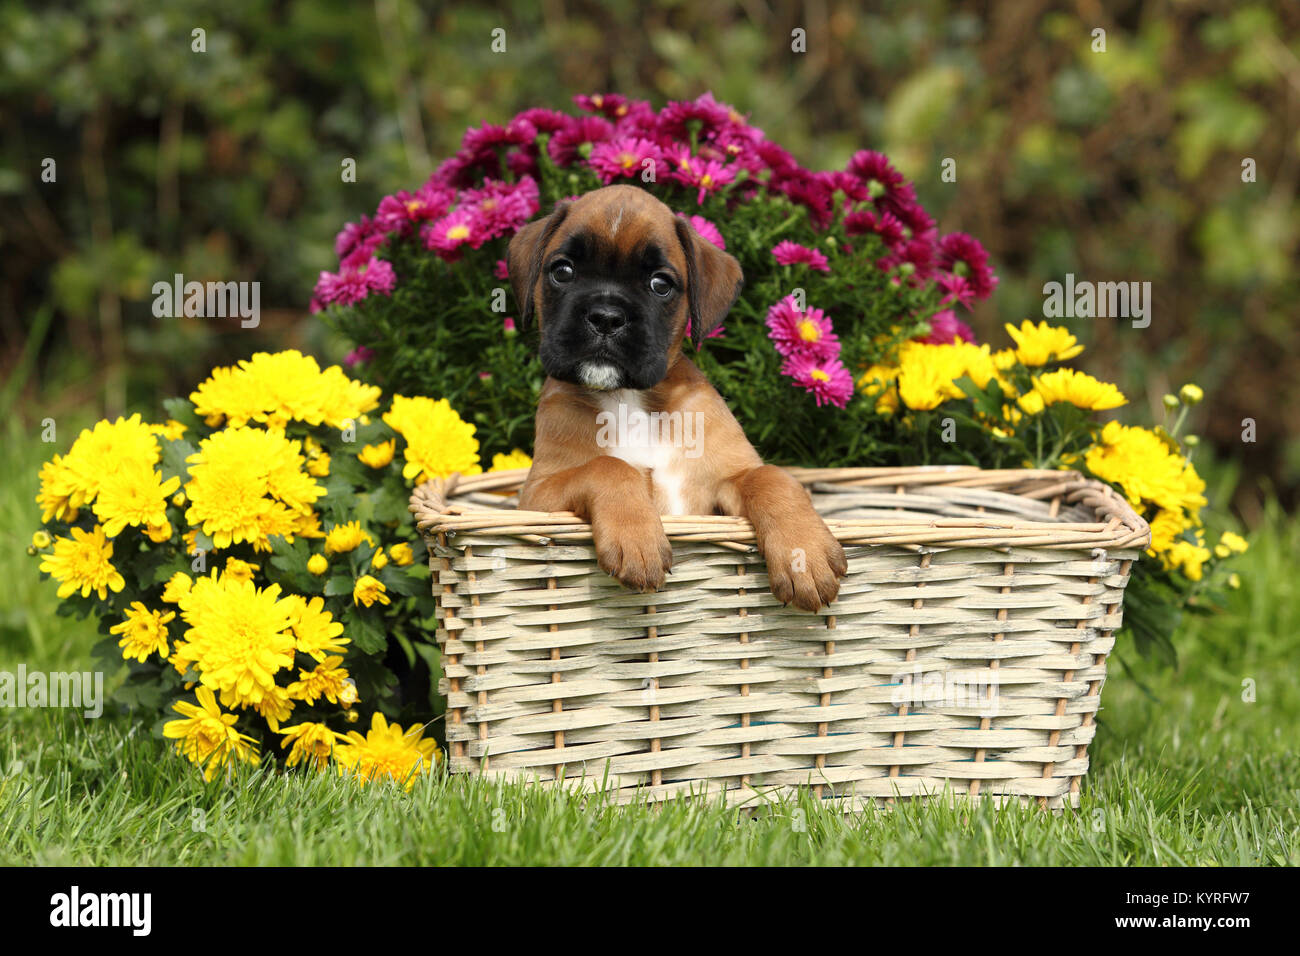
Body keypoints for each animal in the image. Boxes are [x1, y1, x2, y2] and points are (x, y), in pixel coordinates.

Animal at [512, 183, 847, 608]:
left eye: (660, 284)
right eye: (562, 271)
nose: (606, 316)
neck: (628, 398)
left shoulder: (726, 480)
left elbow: (771, 477)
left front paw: (804, 553)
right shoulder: (536, 497)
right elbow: (608, 466)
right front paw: (637, 538)